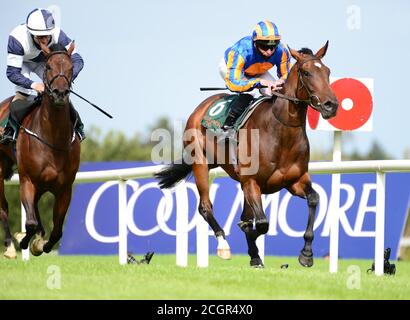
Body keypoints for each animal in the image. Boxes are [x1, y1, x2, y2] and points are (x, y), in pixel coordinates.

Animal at [0, 41, 80, 258]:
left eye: (71, 68)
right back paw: (10, 246)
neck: (53, 138)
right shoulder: (27, 180)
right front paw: (23, 240)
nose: (60, 93)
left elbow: (58, 230)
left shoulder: (64, 188)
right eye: (49, 66)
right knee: (4, 208)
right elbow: (30, 222)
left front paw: (40, 244)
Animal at [155, 42, 338, 268]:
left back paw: (254, 255)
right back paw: (224, 246)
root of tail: (200, 108)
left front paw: (306, 254)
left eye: (328, 71)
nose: (331, 105)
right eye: (306, 72)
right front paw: (249, 238)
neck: (280, 133)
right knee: (205, 207)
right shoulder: (251, 181)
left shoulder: (295, 180)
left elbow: (313, 199)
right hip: (201, 163)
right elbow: (261, 224)